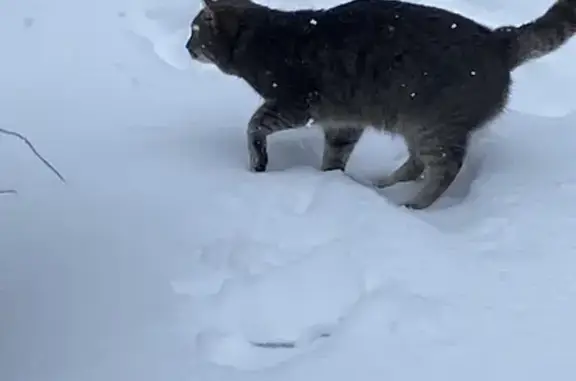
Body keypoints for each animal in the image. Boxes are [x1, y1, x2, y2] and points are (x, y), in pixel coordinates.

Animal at [184, 0, 576, 208]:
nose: (186, 46)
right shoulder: (343, 121)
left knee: (445, 168)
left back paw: (414, 205)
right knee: (417, 164)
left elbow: (254, 126)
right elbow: (334, 156)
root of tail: (499, 39)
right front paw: (329, 181)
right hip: (416, 125)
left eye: (194, 31)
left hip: (433, 125)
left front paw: (259, 163)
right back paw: (382, 184)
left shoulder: (295, 104)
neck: (260, 37)